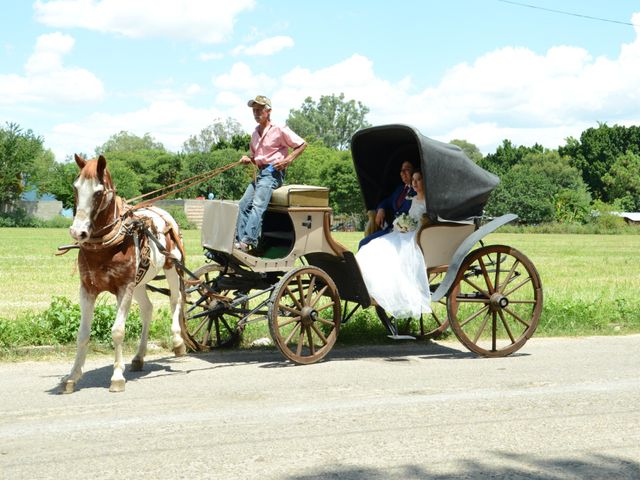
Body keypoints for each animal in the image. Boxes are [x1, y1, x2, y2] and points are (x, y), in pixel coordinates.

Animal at [61, 154, 186, 394]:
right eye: (75, 187)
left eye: (98, 192)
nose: (77, 231)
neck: (106, 245)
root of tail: (163, 213)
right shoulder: (88, 289)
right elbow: (82, 334)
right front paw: (72, 376)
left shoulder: (124, 287)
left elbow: (118, 331)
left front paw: (117, 376)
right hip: (140, 282)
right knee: (147, 309)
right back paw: (139, 356)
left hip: (171, 267)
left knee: (176, 300)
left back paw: (178, 342)